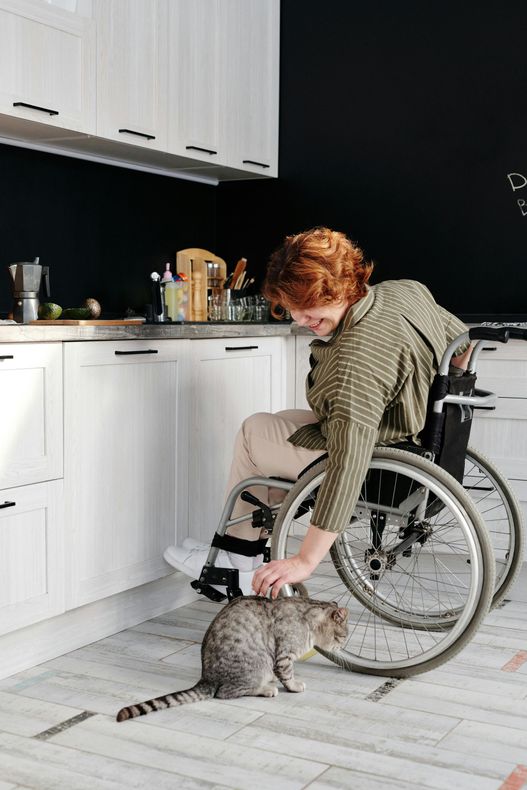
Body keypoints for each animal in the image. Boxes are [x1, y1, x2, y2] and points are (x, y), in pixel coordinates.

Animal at [117, 596, 348, 720]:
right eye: (344, 635)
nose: (342, 645)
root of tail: (206, 679)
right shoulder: (283, 654)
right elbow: (287, 673)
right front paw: (294, 685)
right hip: (256, 665)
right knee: (227, 692)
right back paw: (266, 688)